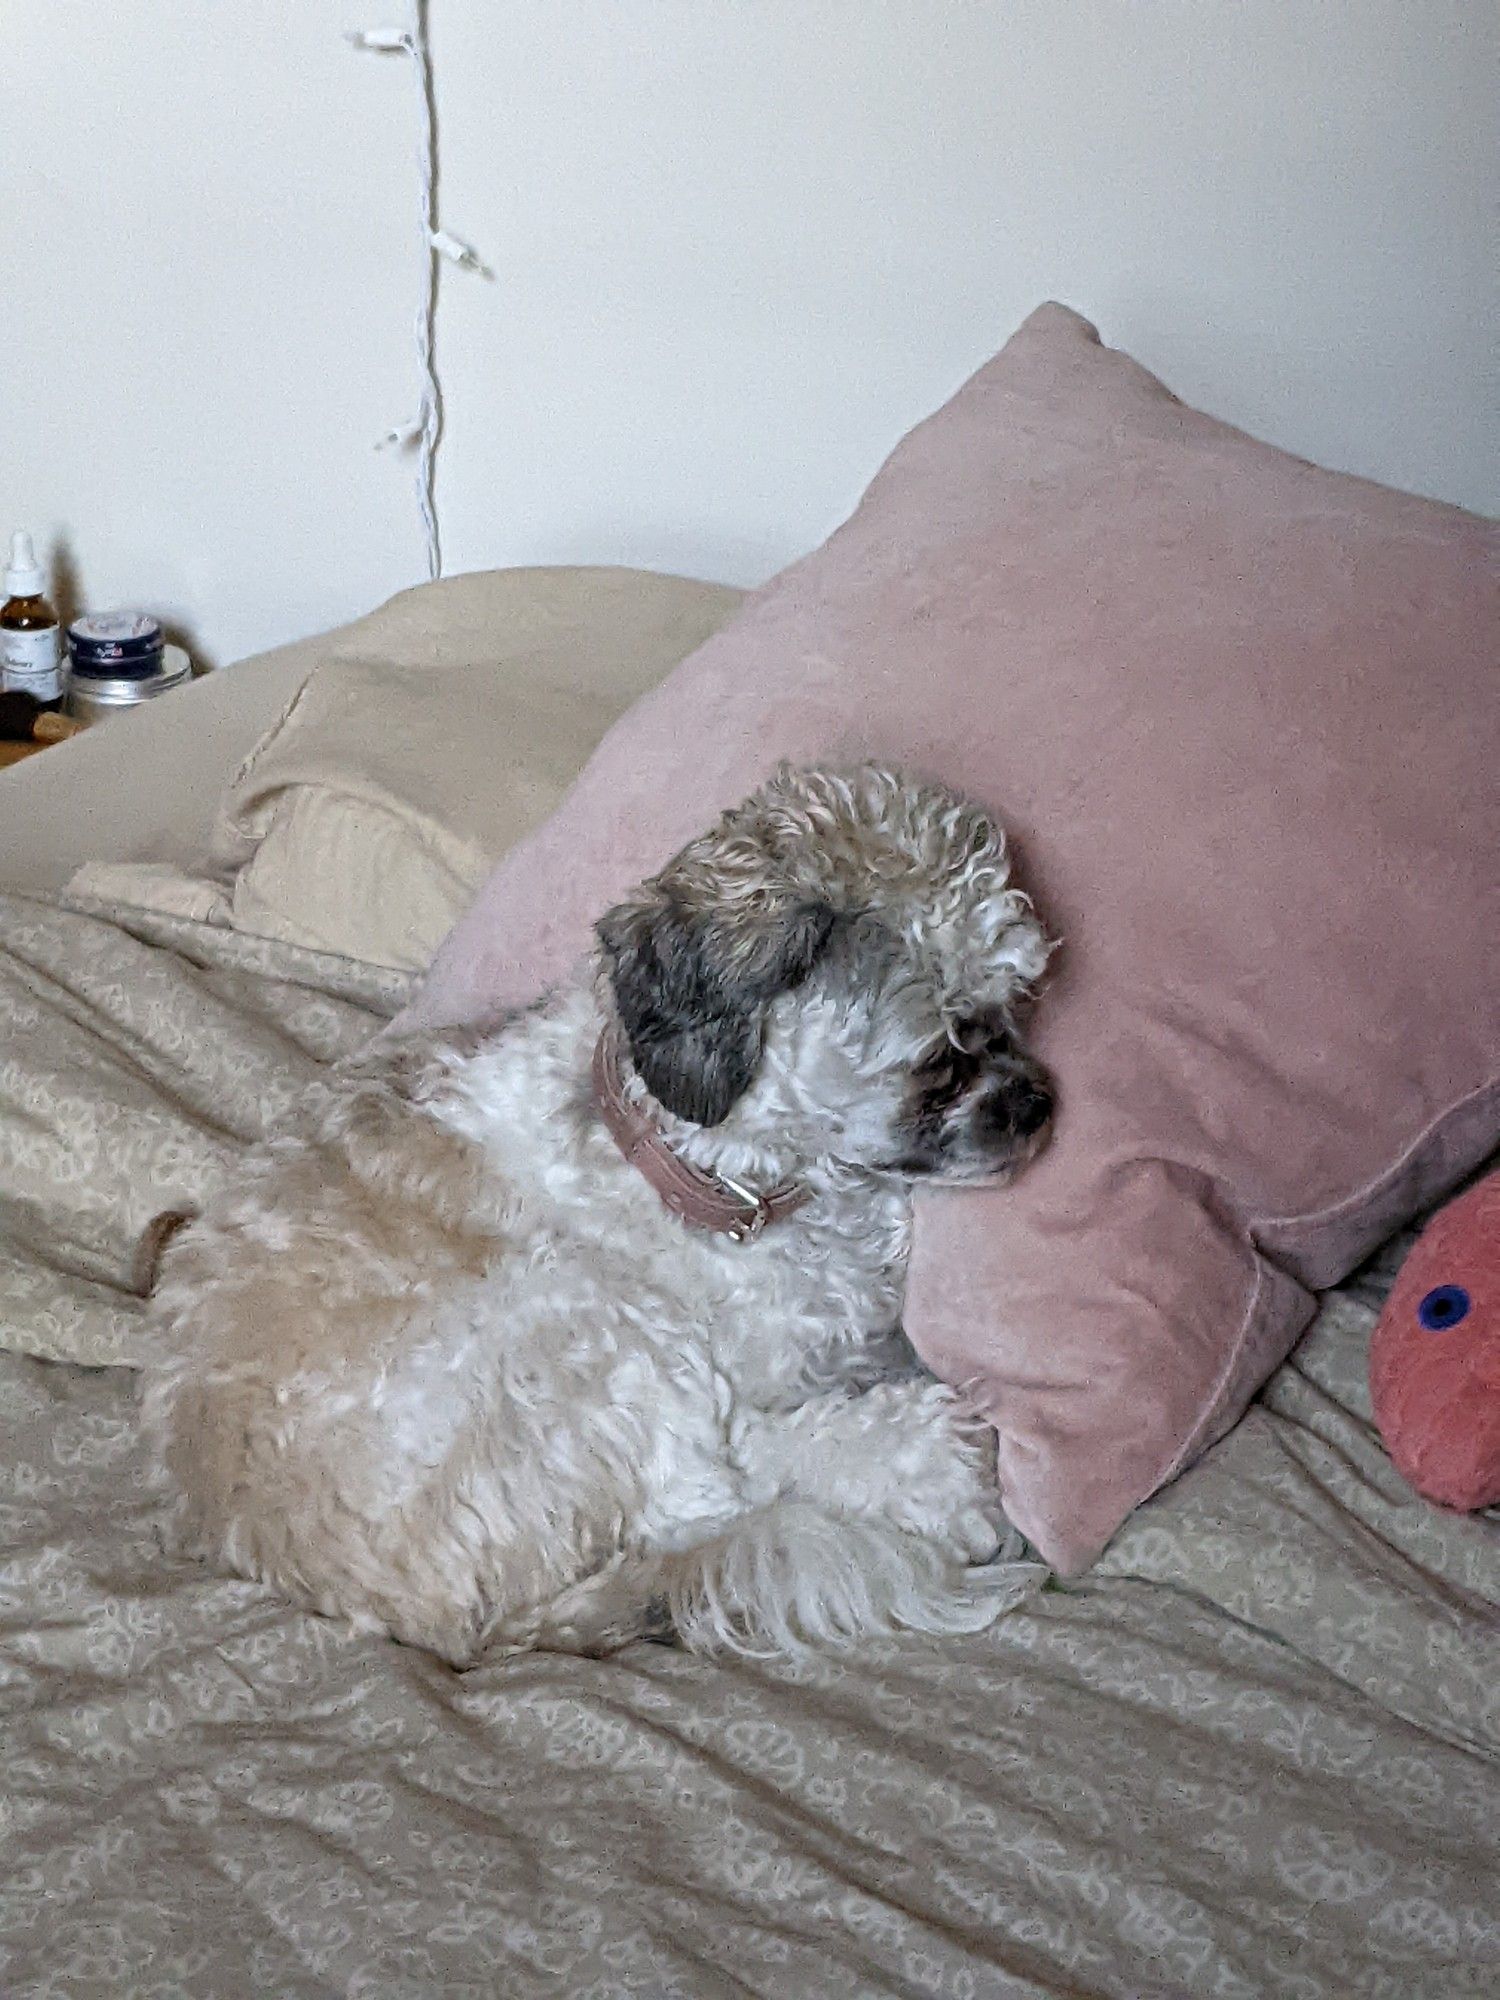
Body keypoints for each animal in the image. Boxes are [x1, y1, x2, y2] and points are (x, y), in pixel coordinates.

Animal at [144, 756, 1056, 1664]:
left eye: (1014, 1007)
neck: (713, 1171)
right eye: (942, 1057)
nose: (1040, 1103)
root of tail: (441, 1624)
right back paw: (924, 1463)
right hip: (591, 1316)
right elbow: (748, 1446)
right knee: (711, 1489)